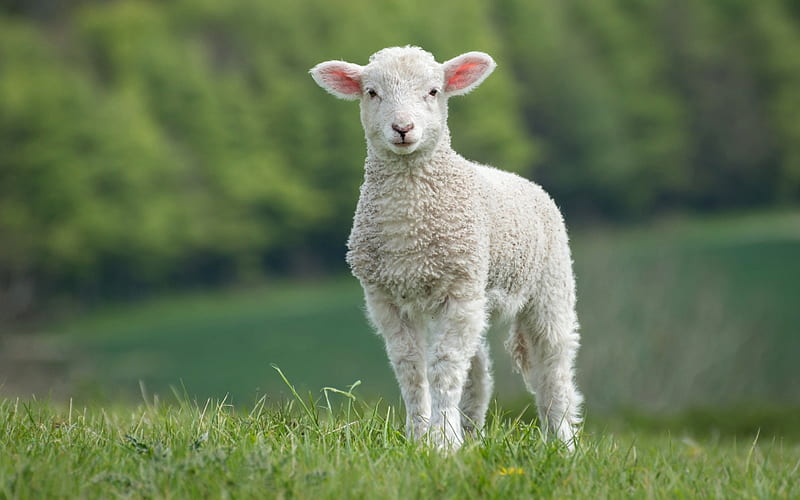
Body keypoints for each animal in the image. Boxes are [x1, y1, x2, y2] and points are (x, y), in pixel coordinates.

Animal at [310, 46, 582, 450]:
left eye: (434, 91)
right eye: (371, 92)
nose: (402, 128)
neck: (410, 231)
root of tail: (527, 182)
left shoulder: (459, 289)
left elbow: (444, 364)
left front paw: (442, 442)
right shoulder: (385, 297)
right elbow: (411, 366)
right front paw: (420, 436)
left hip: (550, 284)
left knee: (554, 366)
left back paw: (563, 442)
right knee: (479, 368)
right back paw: (470, 432)